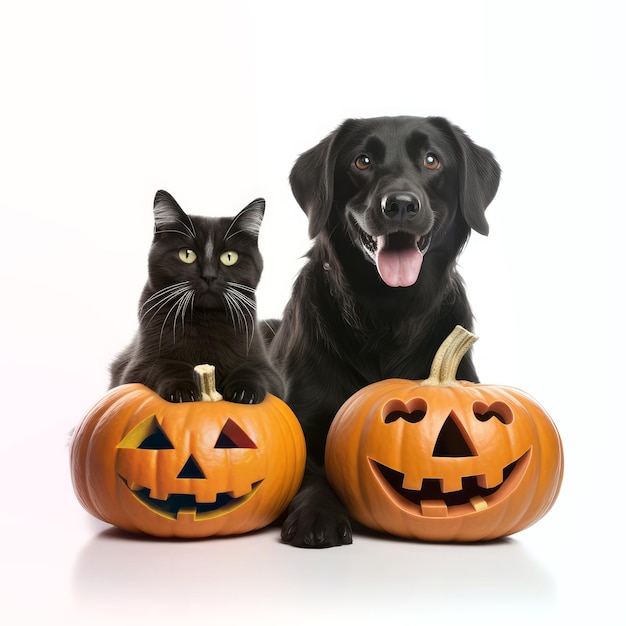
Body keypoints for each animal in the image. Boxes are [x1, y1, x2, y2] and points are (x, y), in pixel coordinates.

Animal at [109, 190, 282, 402]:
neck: (205, 318)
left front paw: (244, 391)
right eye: (187, 254)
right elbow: (164, 365)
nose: (209, 275)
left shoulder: (269, 371)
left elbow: (253, 370)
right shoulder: (135, 369)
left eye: (229, 257)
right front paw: (181, 389)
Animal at [270, 117, 500, 544]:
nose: (401, 205)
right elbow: (309, 474)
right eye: (362, 161)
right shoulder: (301, 420)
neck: (388, 312)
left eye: (431, 160)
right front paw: (317, 515)